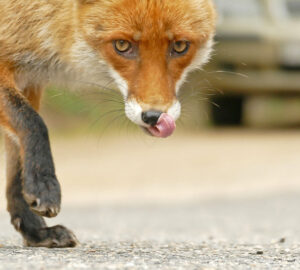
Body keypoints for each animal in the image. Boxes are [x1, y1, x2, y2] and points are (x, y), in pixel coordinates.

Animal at [0, 0, 216, 248]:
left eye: (180, 46)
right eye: (122, 45)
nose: (154, 116)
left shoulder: (29, 80)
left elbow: (17, 165)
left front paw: (35, 231)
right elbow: (33, 123)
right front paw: (44, 186)